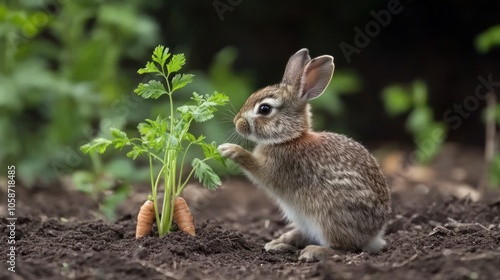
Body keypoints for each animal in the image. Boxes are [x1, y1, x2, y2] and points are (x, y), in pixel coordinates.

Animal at [218, 48, 390, 262]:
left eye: (264, 109)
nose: (237, 123)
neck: (289, 138)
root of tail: (373, 235)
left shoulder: (273, 168)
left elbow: (254, 166)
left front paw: (229, 149)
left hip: (328, 217)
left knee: (344, 248)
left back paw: (312, 252)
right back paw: (278, 242)